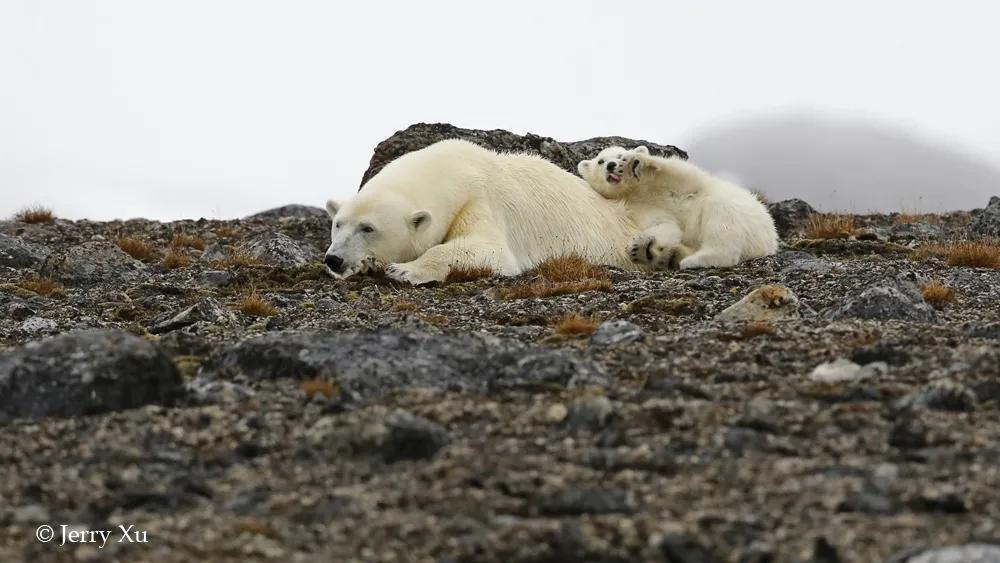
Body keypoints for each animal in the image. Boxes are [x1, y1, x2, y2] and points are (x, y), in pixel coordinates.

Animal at [326, 139, 640, 284]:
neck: (454, 168)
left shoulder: (480, 199)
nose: (334, 259)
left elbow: (487, 249)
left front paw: (403, 269)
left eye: (368, 228)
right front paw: (366, 265)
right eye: (338, 224)